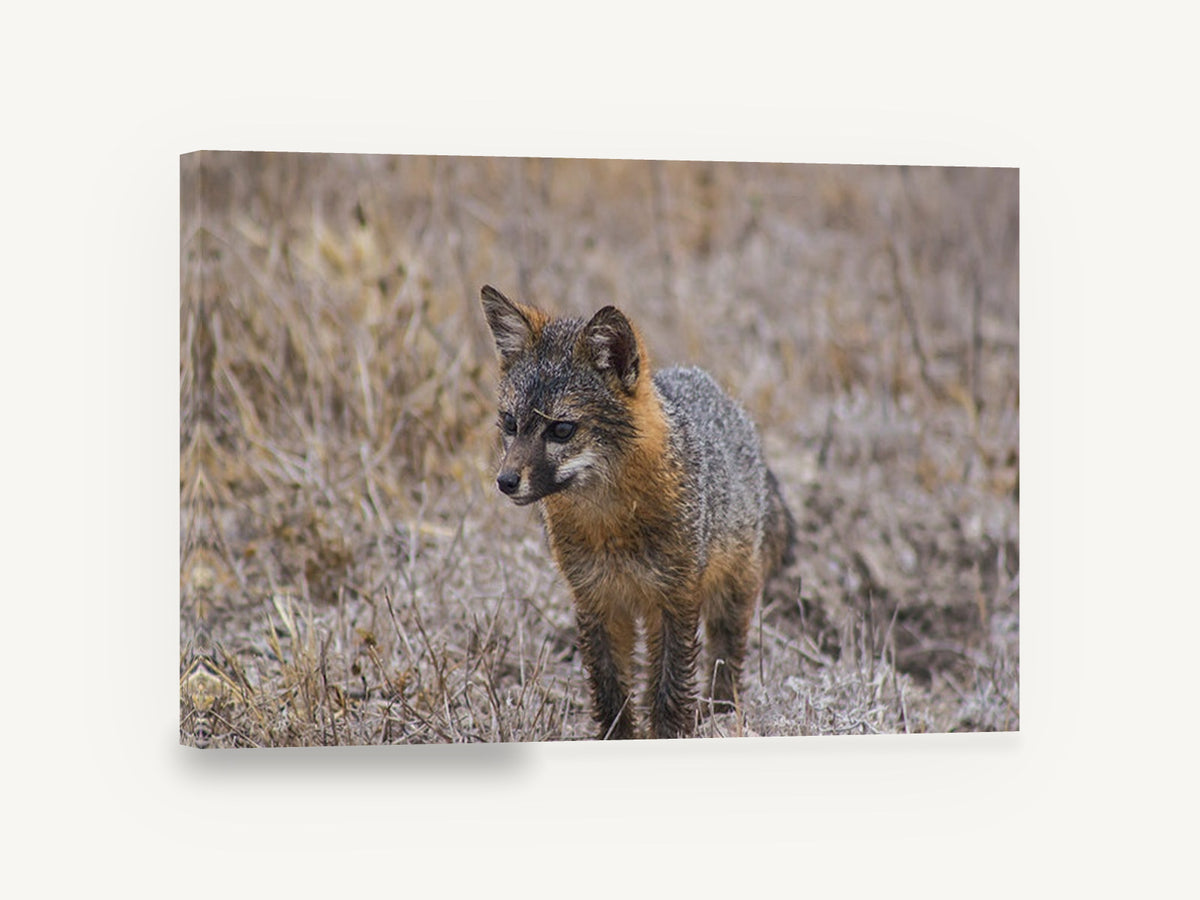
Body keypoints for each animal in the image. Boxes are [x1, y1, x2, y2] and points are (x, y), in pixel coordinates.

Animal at [480, 284, 795, 739]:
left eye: (561, 429)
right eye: (509, 423)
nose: (505, 481)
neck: (610, 527)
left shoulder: (676, 597)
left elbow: (672, 686)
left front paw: (669, 734)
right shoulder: (596, 599)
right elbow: (610, 686)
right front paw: (621, 737)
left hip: (730, 591)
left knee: (725, 659)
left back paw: (721, 714)